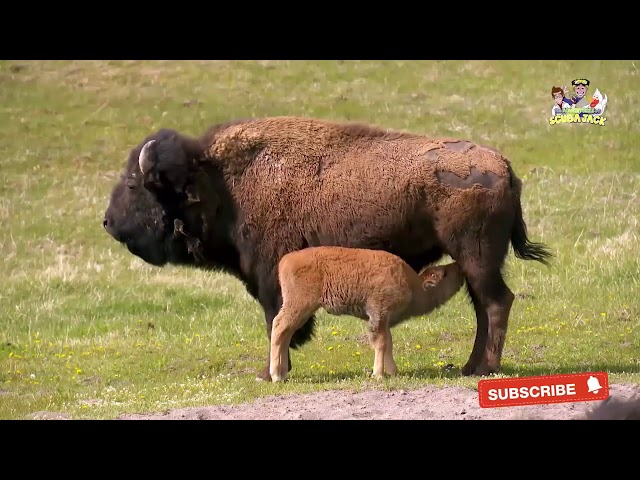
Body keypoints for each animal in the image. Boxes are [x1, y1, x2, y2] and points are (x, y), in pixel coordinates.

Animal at [270, 248, 464, 382]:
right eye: (444, 274)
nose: (459, 266)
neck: (412, 284)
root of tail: (286, 260)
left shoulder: (384, 319)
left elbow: (388, 342)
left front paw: (393, 372)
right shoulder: (378, 314)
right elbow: (381, 343)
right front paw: (378, 374)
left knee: (286, 333)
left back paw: (282, 374)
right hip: (299, 306)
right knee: (279, 327)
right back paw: (276, 376)